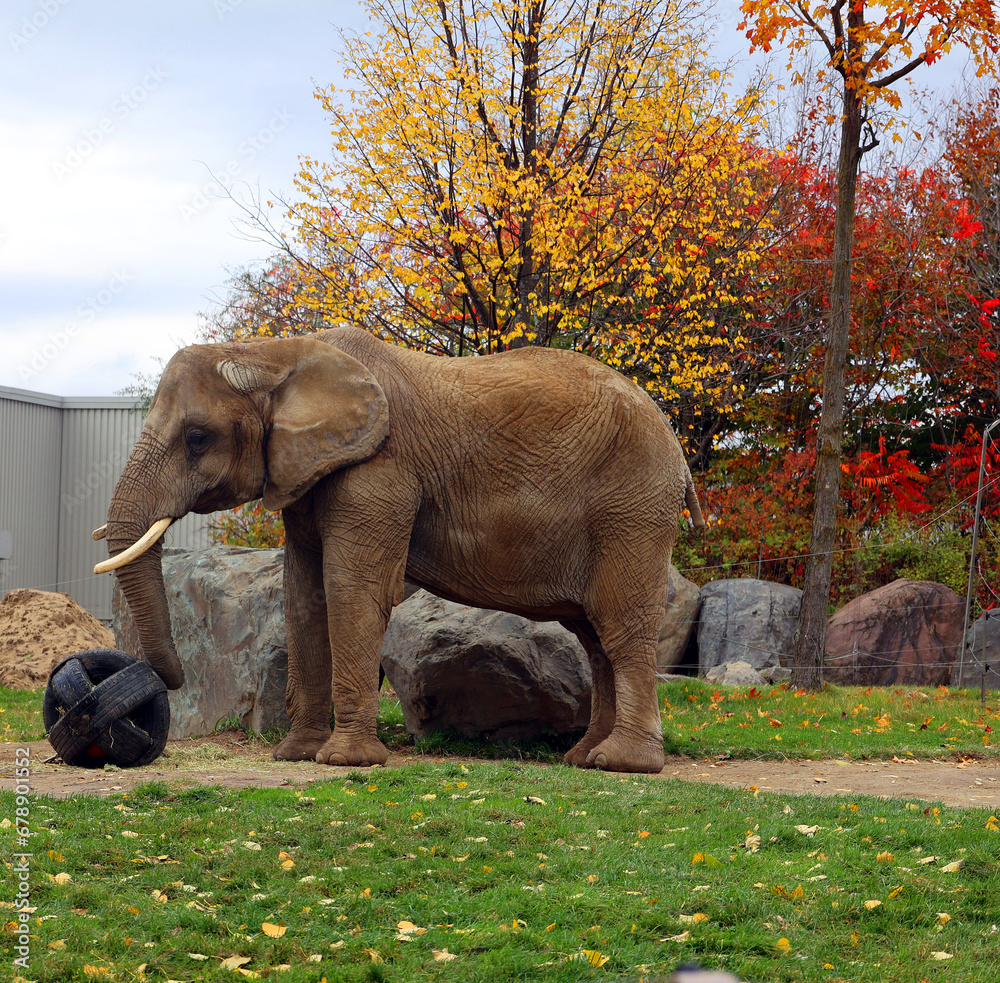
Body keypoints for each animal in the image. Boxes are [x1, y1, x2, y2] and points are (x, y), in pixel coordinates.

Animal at [96, 326, 705, 774]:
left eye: (197, 438)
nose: (165, 681)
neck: (271, 352)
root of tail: (676, 449)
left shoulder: (378, 467)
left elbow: (350, 589)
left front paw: (345, 762)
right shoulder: (307, 475)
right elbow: (304, 598)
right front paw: (296, 755)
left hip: (631, 507)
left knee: (619, 623)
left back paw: (623, 764)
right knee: (595, 634)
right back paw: (583, 758)